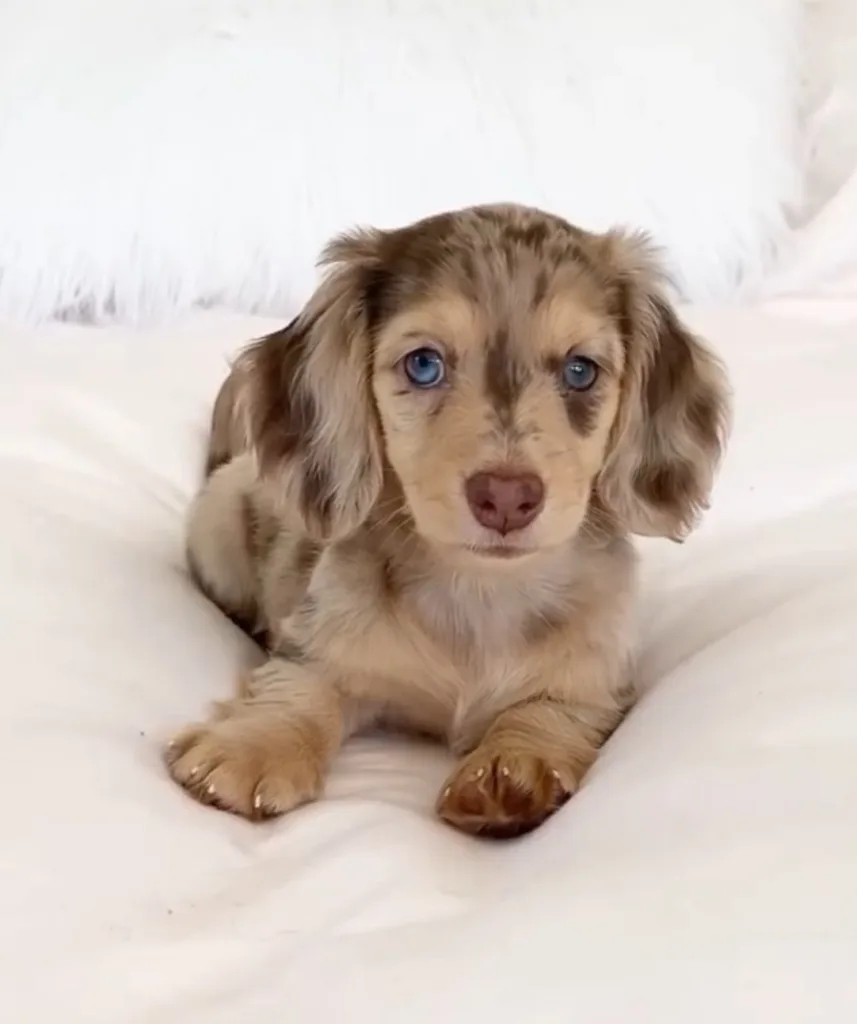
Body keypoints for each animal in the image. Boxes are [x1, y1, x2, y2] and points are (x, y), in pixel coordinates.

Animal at [165, 201, 729, 839]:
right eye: (424, 365)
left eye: (581, 371)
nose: (507, 496)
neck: (481, 594)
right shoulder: (319, 649)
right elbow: (296, 690)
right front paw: (253, 748)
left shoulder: (596, 682)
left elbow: (550, 713)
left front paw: (513, 766)